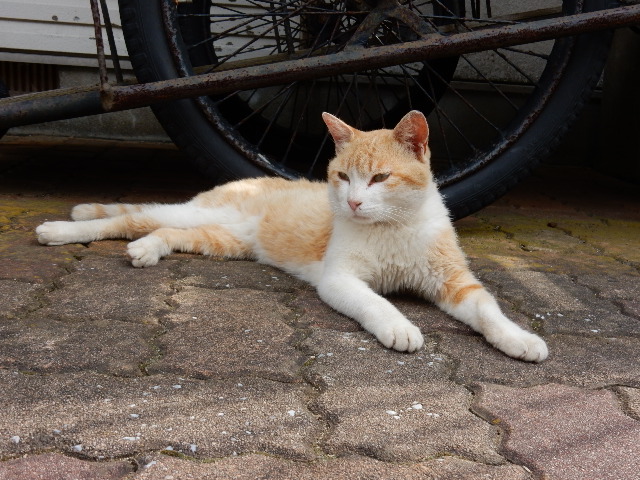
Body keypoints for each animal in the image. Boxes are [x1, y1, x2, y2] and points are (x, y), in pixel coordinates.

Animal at [36, 111, 548, 362]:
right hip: (199, 212)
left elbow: (488, 311)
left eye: (380, 177)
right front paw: (400, 326)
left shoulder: (454, 282)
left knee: (159, 229)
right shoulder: (339, 280)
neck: (393, 229)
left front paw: (519, 339)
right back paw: (66, 226)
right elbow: (377, 303)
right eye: (342, 177)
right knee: (134, 216)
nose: (353, 203)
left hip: (223, 241)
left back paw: (146, 248)